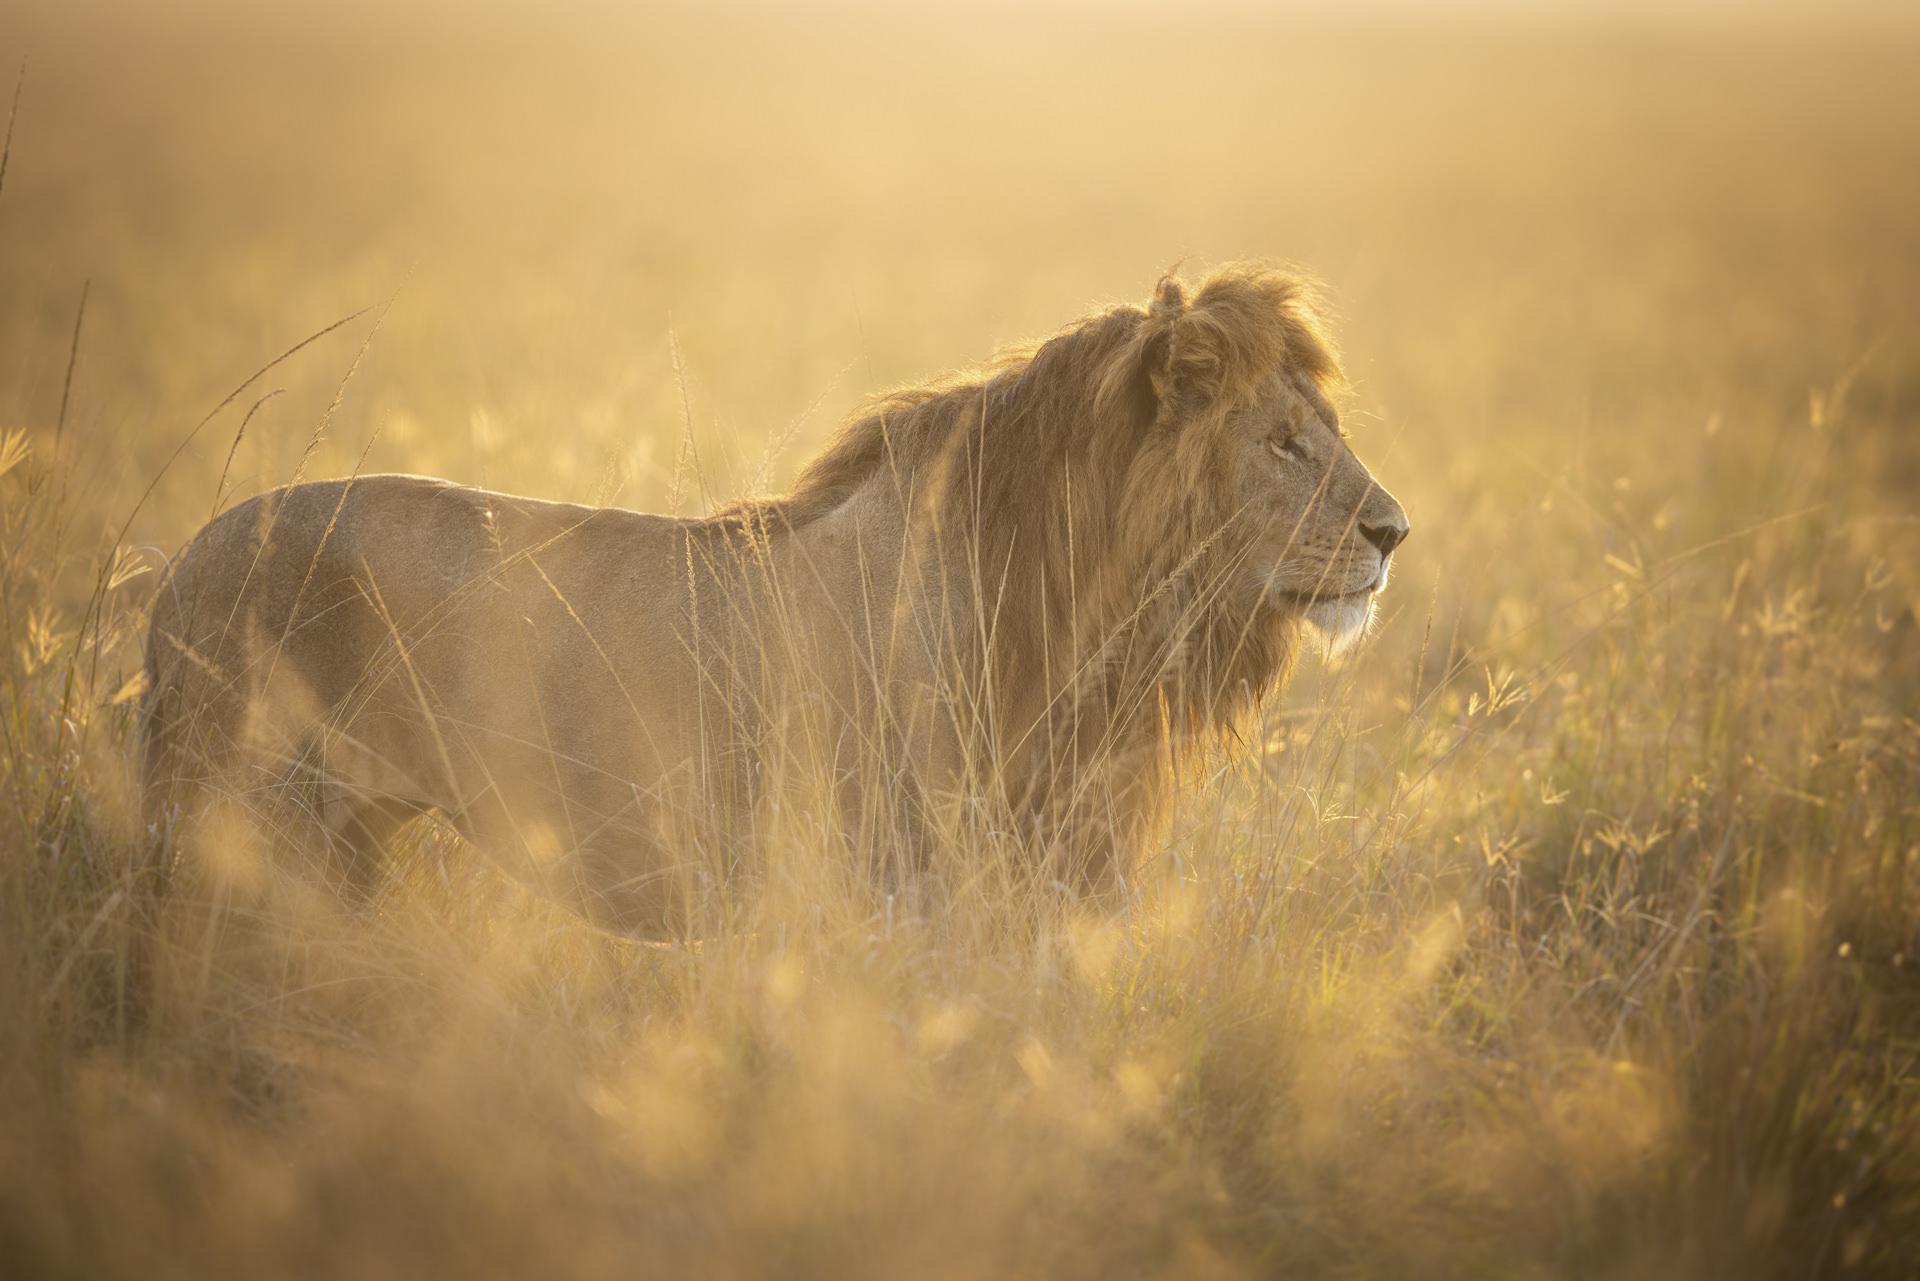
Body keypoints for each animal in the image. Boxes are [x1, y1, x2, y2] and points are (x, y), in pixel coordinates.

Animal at [142, 268, 1413, 933]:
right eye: (1286, 444)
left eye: (1321, 431)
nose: (1395, 533)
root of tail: (184, 559)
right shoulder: (904, 889)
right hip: (236, 823)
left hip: (343, 843)